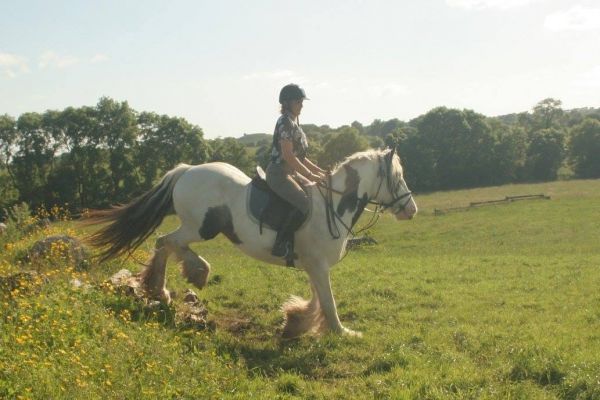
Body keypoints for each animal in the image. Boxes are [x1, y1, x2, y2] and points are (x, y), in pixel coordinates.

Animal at [85, 148, 418, 338]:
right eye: (398, 177)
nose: (411, 209)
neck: (332, 207)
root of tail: (187, 170)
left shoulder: (313, 265)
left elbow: (316, 299)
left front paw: (295, 322)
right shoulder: (318, 265)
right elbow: (328, 302)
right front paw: (343, 332)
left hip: (195, 227)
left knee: (164, 244)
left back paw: (160, 291)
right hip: (200, 227)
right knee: (167, 241)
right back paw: (193, 273)